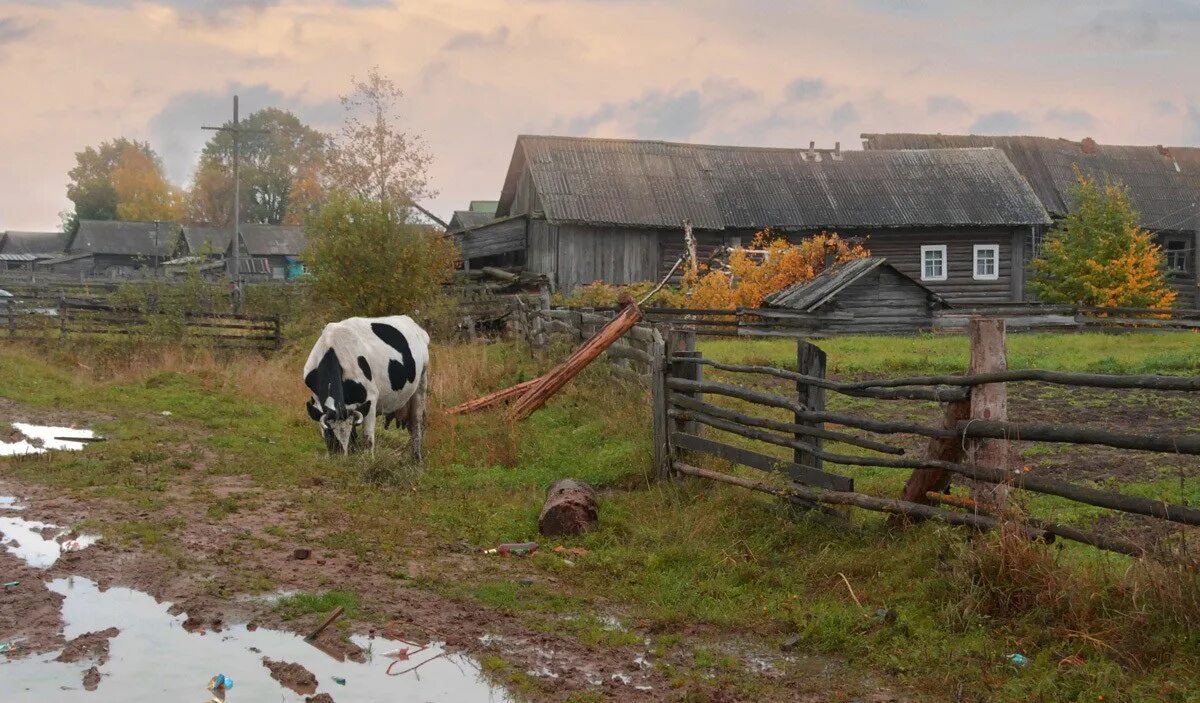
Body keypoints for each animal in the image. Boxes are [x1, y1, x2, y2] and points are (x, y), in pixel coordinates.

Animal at [302, 314, 429, 455]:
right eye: (331, 433)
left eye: (351, 435)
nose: (342, 458)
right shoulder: (319, 401)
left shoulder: (371, 398)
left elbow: (368, 439)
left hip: (421, 383)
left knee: (416, 424)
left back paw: (416, 457)